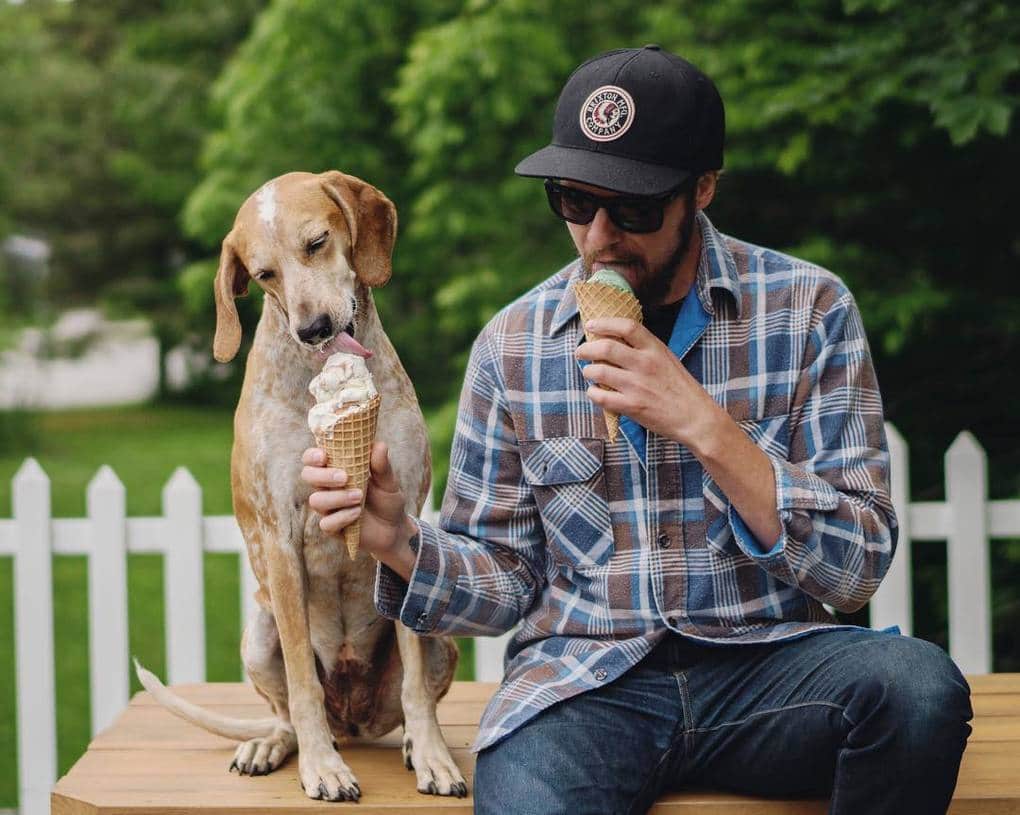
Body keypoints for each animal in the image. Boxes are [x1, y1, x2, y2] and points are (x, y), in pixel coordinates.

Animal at [135, 170, 467, 803]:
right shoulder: (280, 538)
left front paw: (435, 756)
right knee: (287, 712)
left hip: (440, 637)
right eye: (263, 274)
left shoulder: (407, 522)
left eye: (316, 243)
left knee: (412, 693)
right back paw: (275, 745)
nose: (313, 329)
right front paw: (322, 768)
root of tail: (354, 720)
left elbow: (415, 684)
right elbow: (301, 687)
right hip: (259, 634)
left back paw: (412, 744)